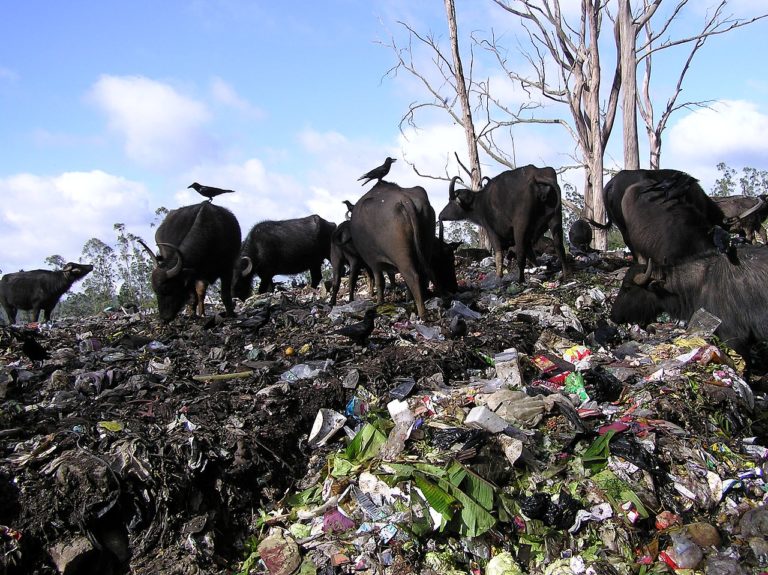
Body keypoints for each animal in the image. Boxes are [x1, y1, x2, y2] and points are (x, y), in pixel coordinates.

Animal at [348, 181, 438, 320]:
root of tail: (404, 200)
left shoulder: (373, 261)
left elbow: (380, 282)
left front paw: (380, 302)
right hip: (426, 244)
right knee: (423, 273)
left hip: (401, 256)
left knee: (412, 276)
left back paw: (422, 313)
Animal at [438, 164, 568, 284]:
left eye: (451, 201)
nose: (440, 215)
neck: (480, 202)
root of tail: (535, 176)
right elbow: (531, 254)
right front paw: (538, 268)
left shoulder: (491, 231)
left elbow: (498, 253)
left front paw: (498, 276)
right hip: (556, 219)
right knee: (559, 246)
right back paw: (566, 273)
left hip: (520, 226)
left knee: (520, 253)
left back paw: (520, 280)